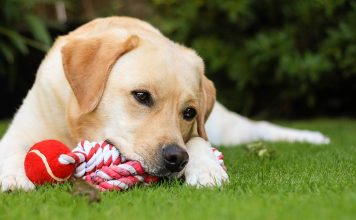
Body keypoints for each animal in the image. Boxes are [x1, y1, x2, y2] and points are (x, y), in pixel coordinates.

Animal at [0, 16, 328, 191]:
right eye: (141, 96)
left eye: (189, 112)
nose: (176, 159)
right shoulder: (20, 130)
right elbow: (13, 149)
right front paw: (14, 176)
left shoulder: (196, 131)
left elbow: (198, 142)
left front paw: (207, 168)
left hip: (227, 126)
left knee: (259, 126)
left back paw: (315, 137)